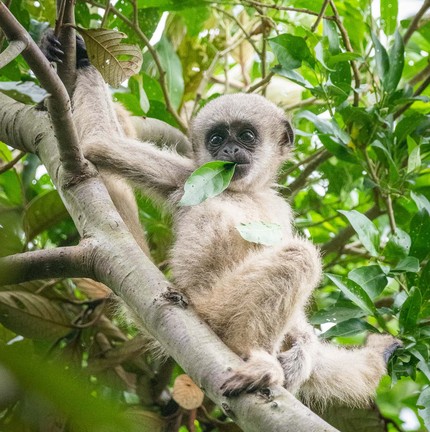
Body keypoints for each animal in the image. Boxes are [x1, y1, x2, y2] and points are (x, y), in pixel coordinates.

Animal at [42, 32, 402, 406]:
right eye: (216, 139)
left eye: (245, 135)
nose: (229, 150)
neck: (246, 192)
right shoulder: (187, 176)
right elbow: (99, 143)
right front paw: (81, 55)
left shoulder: (277, 207)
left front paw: (305, 349)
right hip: (216, 306)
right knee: (299, 257)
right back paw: (260, 360)